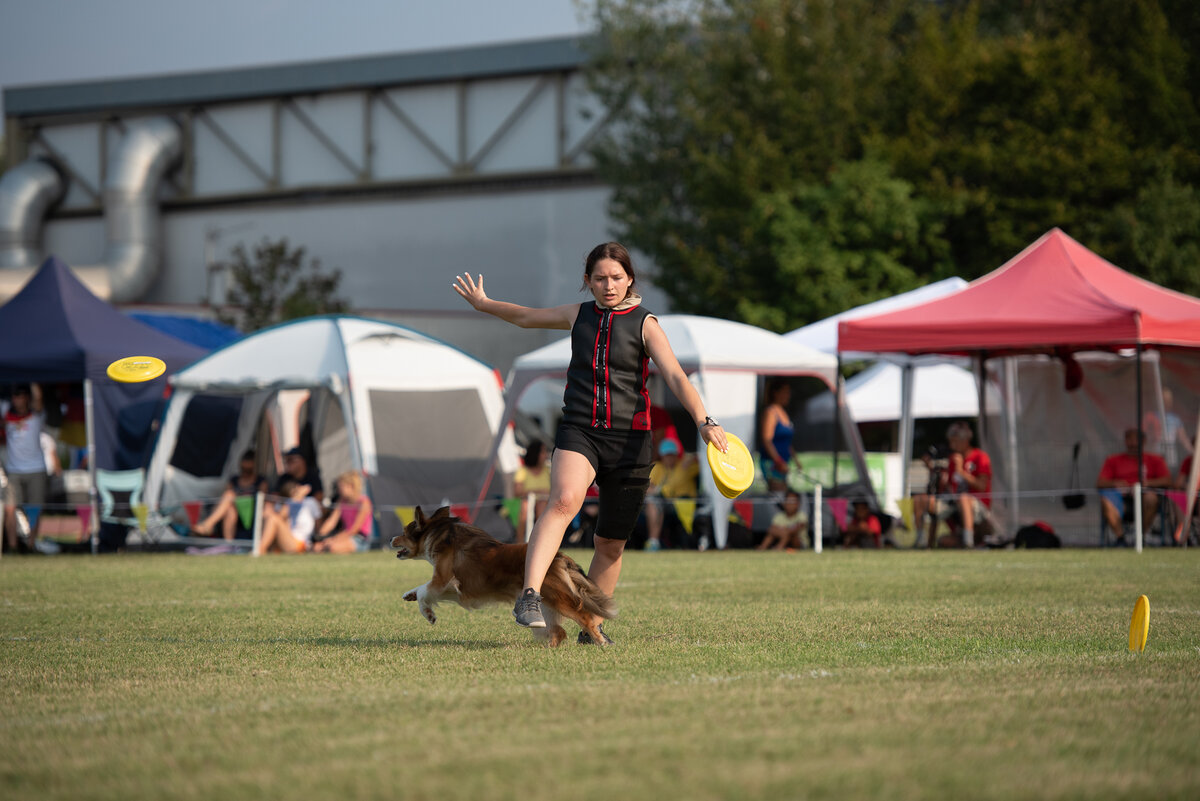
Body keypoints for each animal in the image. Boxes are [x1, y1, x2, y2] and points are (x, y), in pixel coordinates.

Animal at [393, 506, 614, 642]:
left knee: (584, 617)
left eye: (404, 532)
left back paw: (599, 640)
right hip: (547, 607)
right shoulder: (455, 589)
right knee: (559, 632)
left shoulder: (443, 579)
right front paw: (409, 595)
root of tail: (559, 557)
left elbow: (425, 591)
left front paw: (428, 614)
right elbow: (420, 590)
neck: (440, 534)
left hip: (559, 599)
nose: (391, 539)